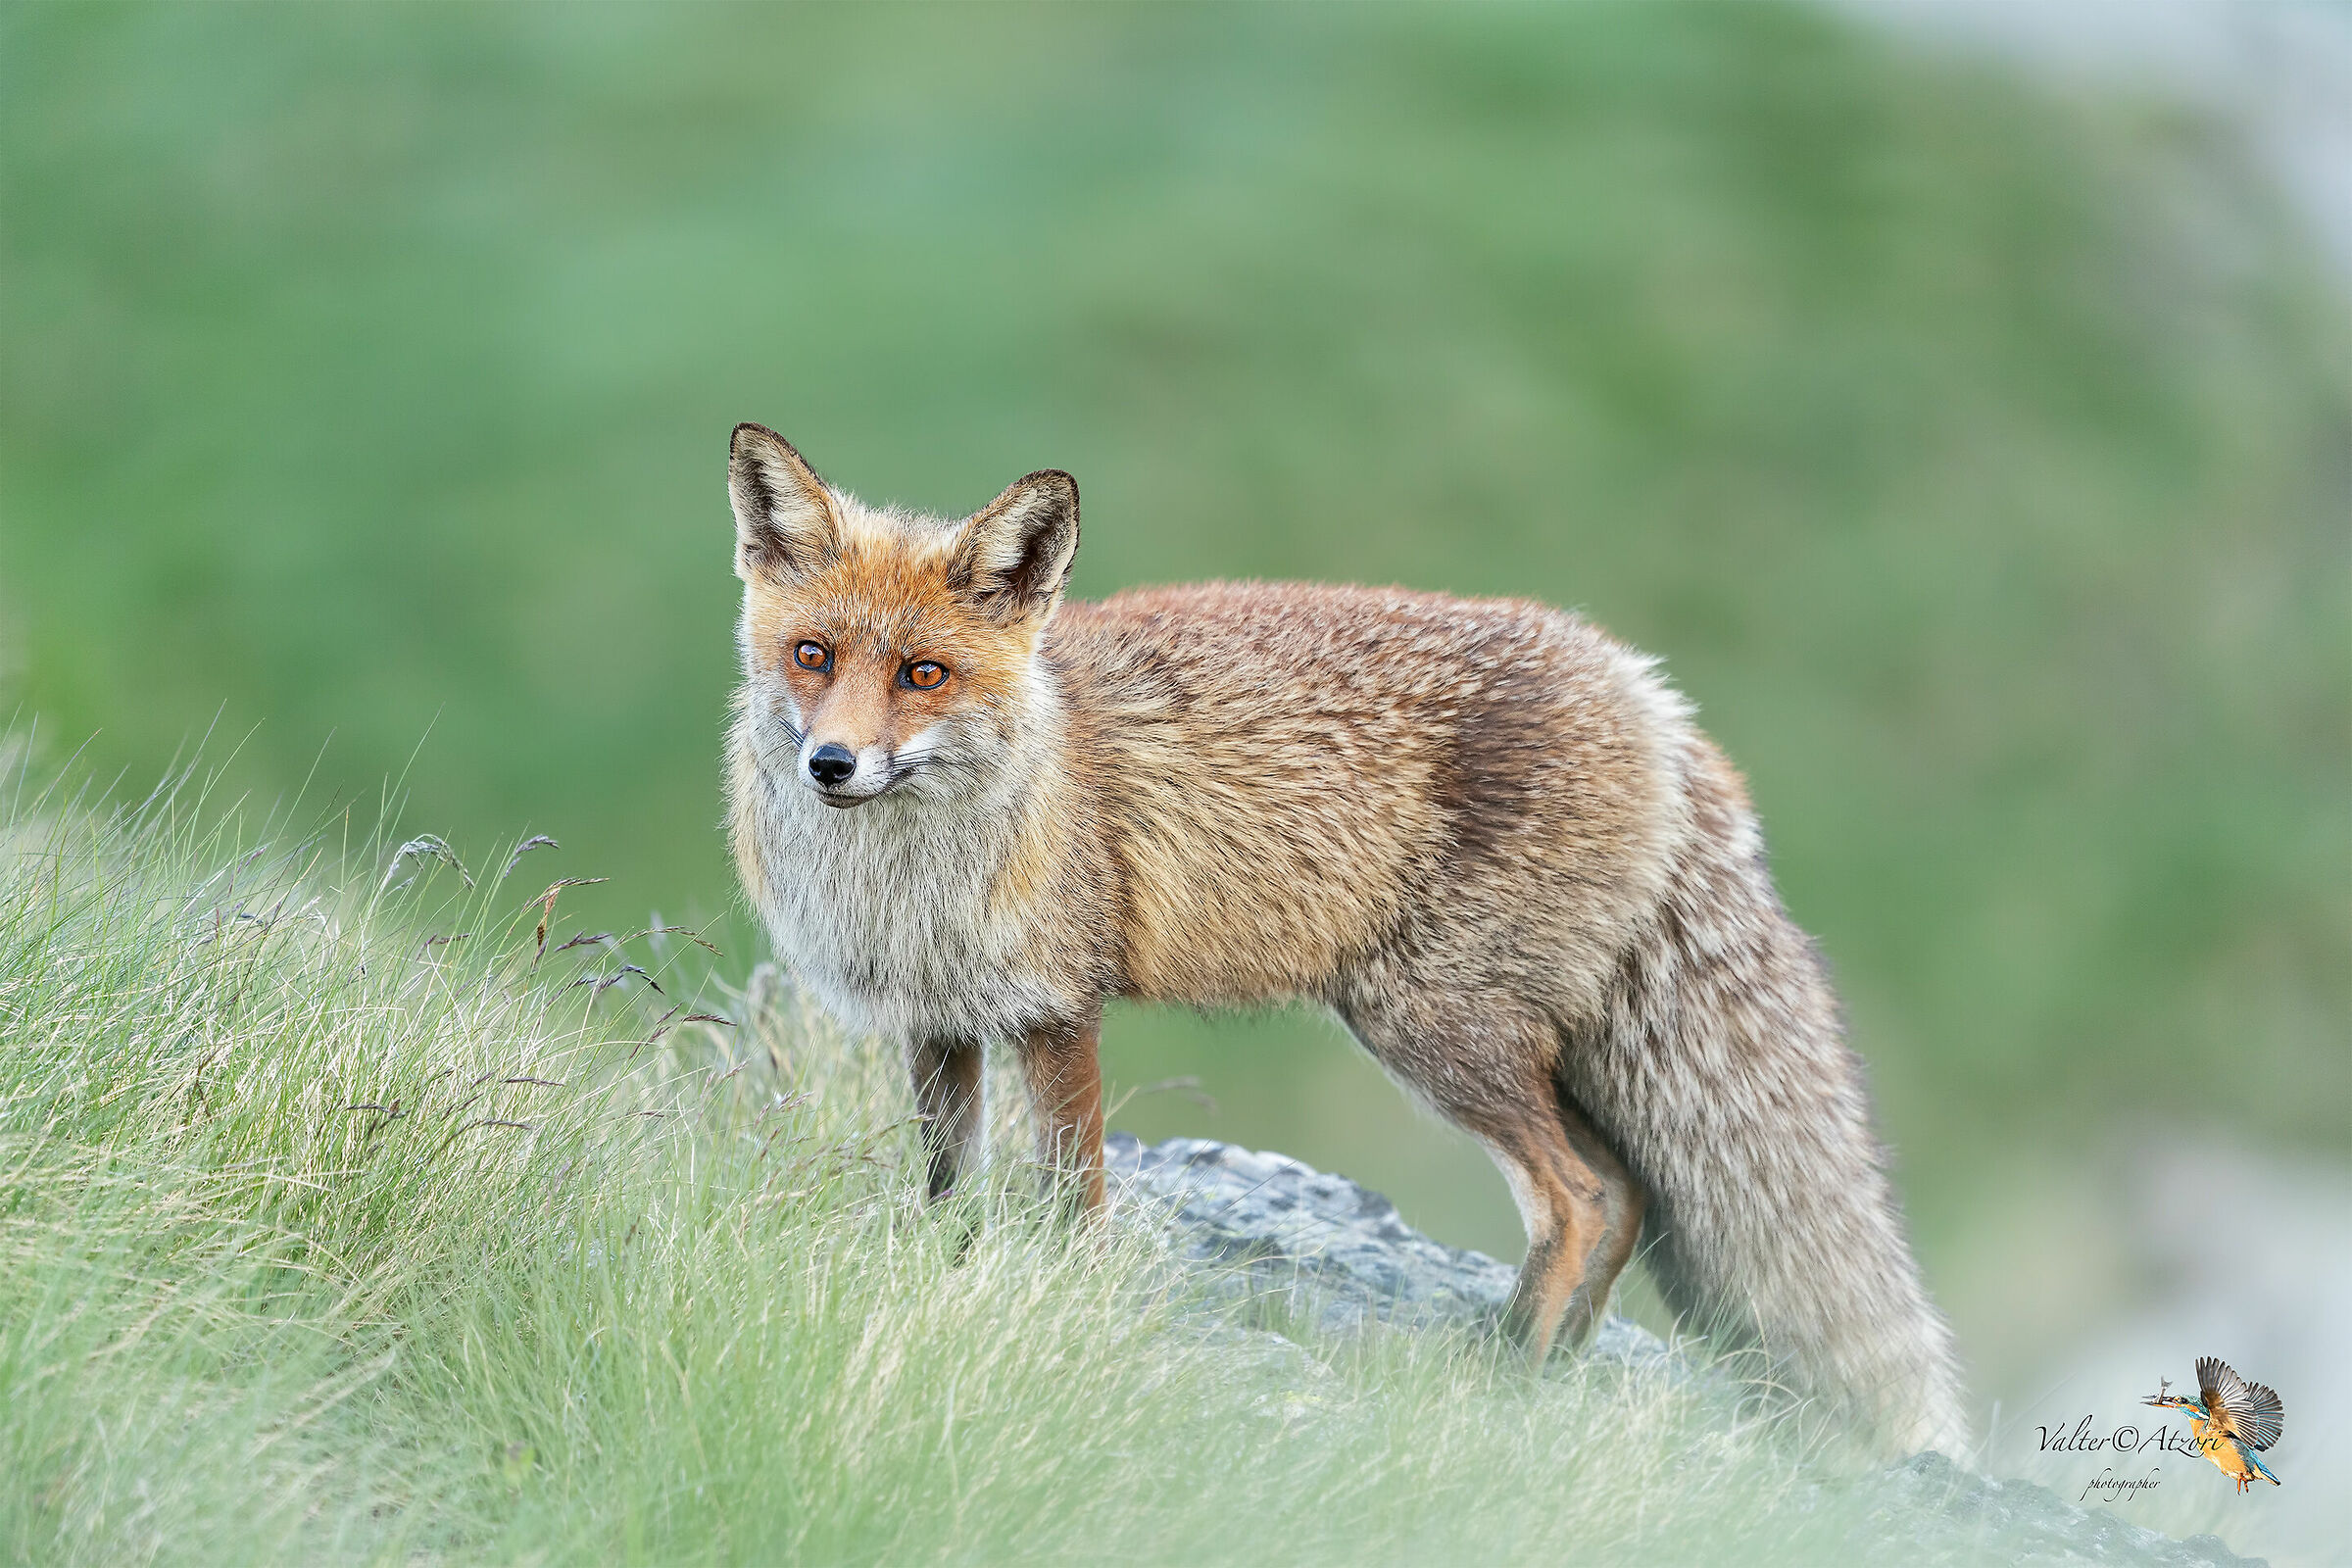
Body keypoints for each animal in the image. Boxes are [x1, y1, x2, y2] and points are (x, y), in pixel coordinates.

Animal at [722, 422, 1968, 1458]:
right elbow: (949, 1196)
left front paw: (1064, 1317)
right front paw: (949, 1286)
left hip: (1431, 1028)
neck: (908, 882)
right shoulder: (938, 1021)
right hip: (1510, 1045)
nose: (831, 765)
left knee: (1578, 1198)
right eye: (813, 655)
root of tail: (1657, 698)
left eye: (923, 673)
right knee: (1626, 1197)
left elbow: (1075, 1204)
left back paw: (1500, 1386)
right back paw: (1548, 1384)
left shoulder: (1057, 1009)